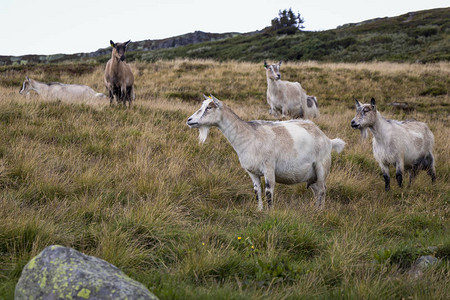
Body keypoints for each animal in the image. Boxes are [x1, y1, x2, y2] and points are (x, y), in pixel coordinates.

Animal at [186, 95, 344, 210]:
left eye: (209, 107)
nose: (189, 120)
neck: (250, 136)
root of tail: (328, 140)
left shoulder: (268, 167)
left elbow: (268, 191)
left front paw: (270, 212)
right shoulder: (252, 171)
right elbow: (257, 191)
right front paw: (260, 210)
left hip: (322, 167)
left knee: (322, 190)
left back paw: (320, 212)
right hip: (312, 174)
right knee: (317, 191)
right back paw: (315, 209)